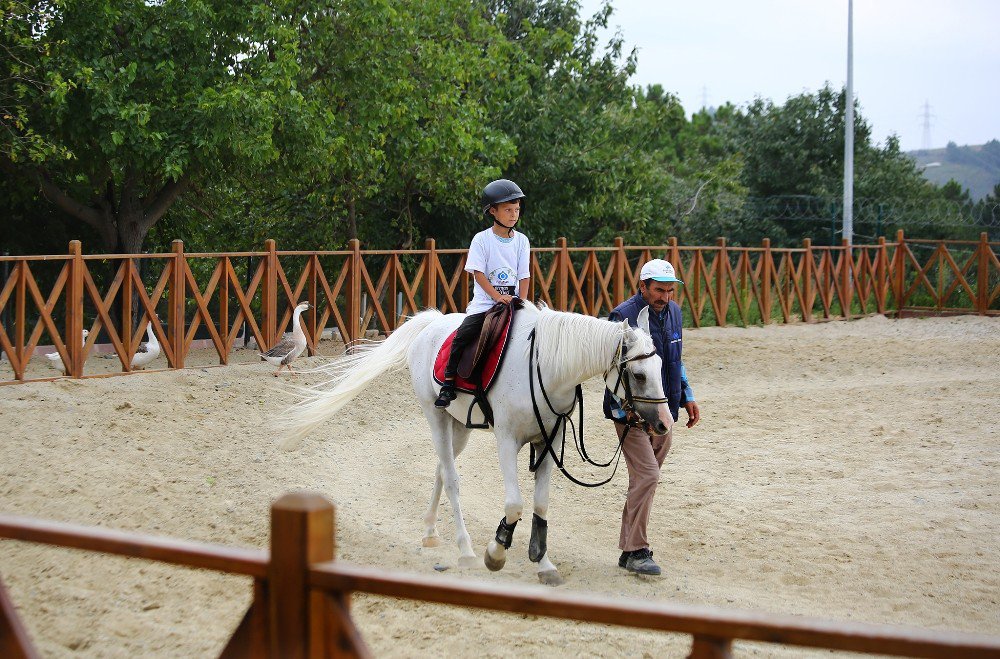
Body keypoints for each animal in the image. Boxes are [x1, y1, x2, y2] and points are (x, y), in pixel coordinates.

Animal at [280, 302, 672, 584]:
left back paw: (430, 532)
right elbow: (514, 504)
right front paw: (496, 551)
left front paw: (543, 562)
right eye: (639, 375)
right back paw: (466, 549)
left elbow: (541, 505)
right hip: (436, 418)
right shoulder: (507, 441)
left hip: (460, 428)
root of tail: (432, 325)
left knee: (441, 470)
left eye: (660, 368)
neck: (545, 365)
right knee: (452, 480)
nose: (664, 424)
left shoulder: (550, 442)